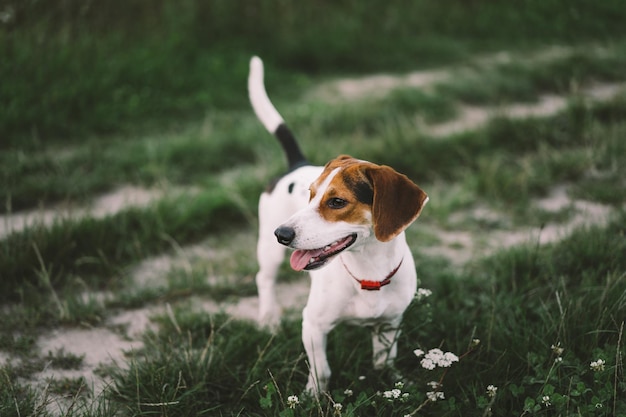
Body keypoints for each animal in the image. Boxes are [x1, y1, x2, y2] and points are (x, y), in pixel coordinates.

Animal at [246, 56, 426, 394]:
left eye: (337, 202)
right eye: (310, 194)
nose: (282, 234)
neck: (368, 273)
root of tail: (298, 163)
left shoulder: (390, 324)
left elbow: (384, 362)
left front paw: (395, 383)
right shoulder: (313, 325)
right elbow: (322, 371)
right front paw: (314, 396)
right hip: (268, 251)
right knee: (264, 280)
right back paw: (269, 320)